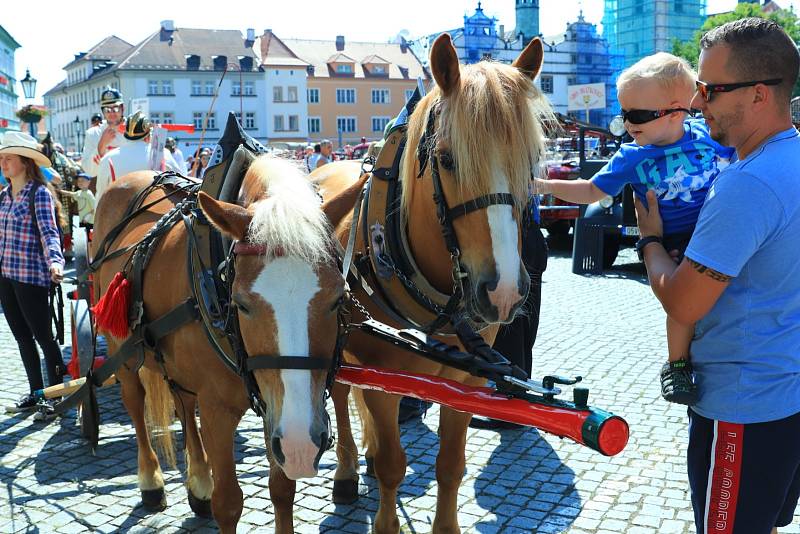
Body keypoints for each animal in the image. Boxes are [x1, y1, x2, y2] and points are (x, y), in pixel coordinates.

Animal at [91, 157, 346, 532]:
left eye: (338, 298)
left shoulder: (275, 406)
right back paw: (151, 480)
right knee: (135, 402)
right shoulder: (219, 410)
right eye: (241, 304)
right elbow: (228, 503)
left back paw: (198, 483)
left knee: (182, 401)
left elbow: (282, 489)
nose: (302, 444)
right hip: (118, 348)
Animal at [312, 32, 552, 532]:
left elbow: (451, 465)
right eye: (446, 159)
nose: (503, 292)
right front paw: (385, 517)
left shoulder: (467, 378)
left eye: (532, 161)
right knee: (342, 396)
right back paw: (346, 471)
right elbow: (392, 465)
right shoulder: (383, 371)